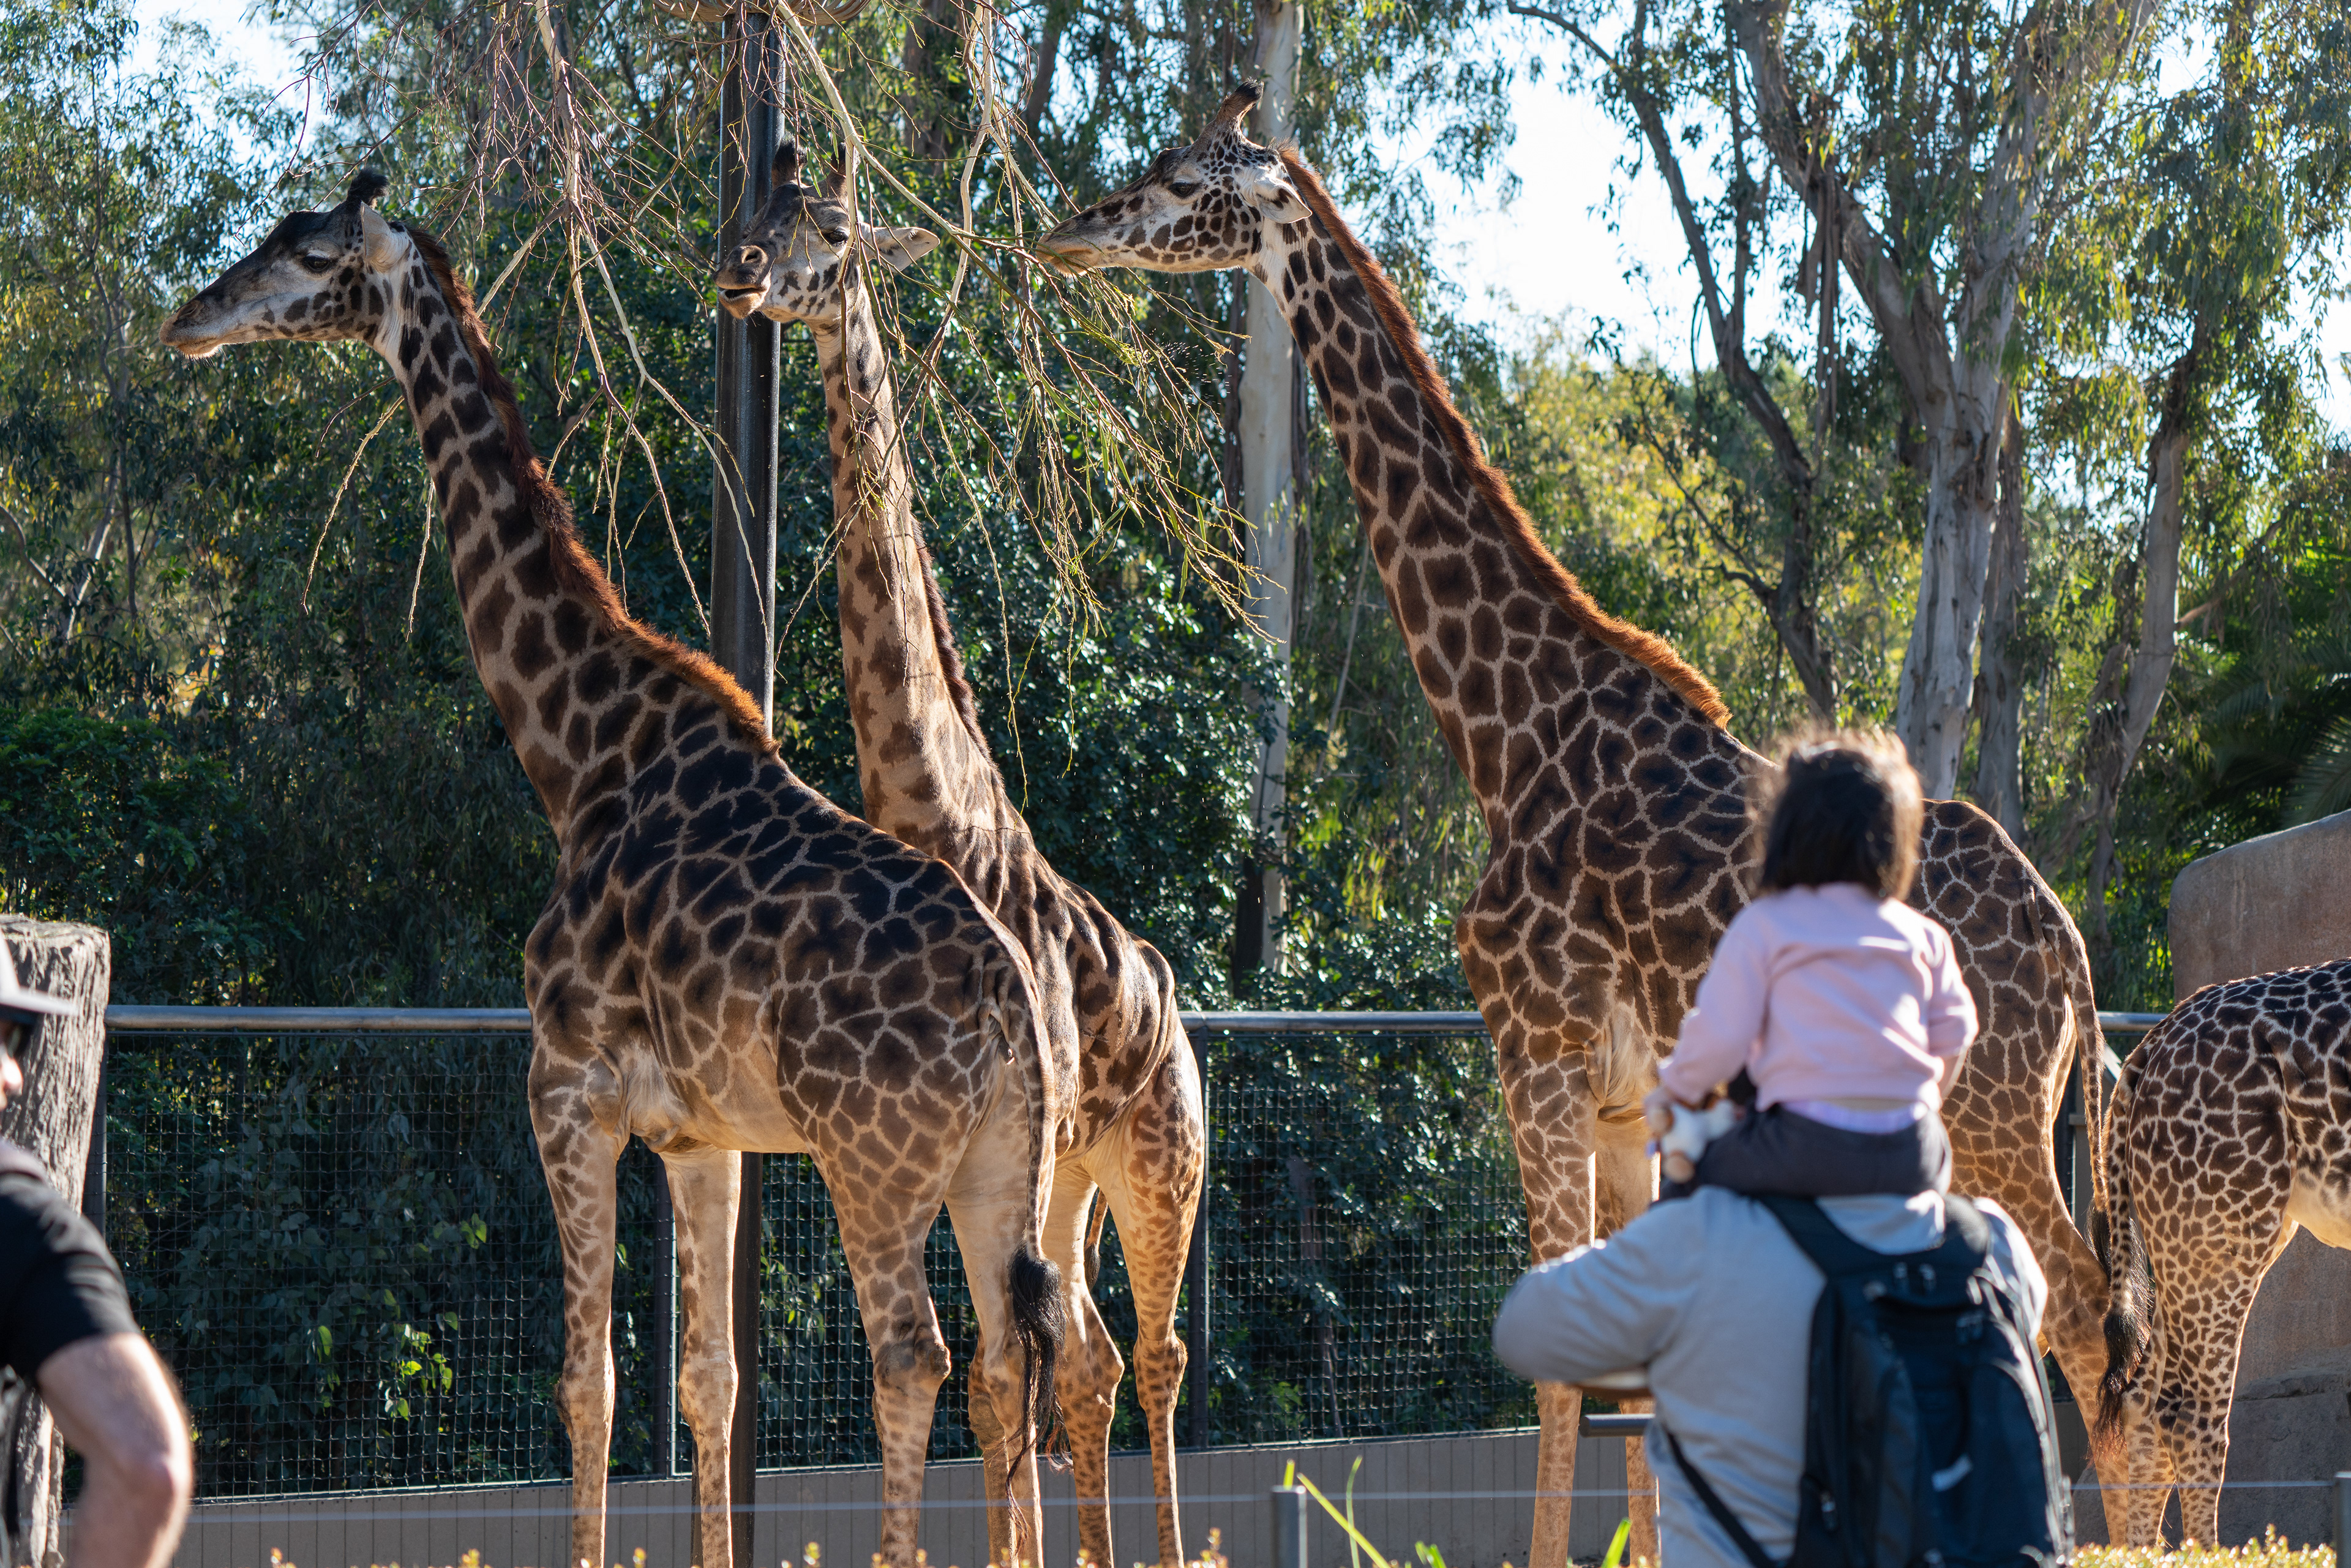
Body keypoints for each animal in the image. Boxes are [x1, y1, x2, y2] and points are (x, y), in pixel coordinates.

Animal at [160, 171, 1071, 1568]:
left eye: (310, 257)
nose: (190, 320)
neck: (578, 755)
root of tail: (1012, 1007)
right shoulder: (703, 1134)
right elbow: (711, 1382)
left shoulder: (566, 1087)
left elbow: (583, 1380)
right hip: (1000, 1167)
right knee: (1008, 1357)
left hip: (873, 1161)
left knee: (914, 1355)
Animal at [713, 139, 1207, 1568]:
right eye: (752, 208)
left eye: (831, 231)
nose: (741, 272)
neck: (937, 809)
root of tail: (1180, 1007)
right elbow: (998, 1381)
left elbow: (995, 1373)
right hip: (1070, 1177)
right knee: (1088, 1353)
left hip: (1159, 1160)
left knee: (1151, 1349)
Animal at [1040, 87, 2116, 1568]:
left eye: (1179, 175)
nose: (1065, 227)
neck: (1511, 730)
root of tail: (2070, 950)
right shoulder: (1618, 1099)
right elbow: (1629, 1362)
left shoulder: (1532, 1049)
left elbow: (1555, 1353)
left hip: (1995, 1102)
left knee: (2086, 1311)